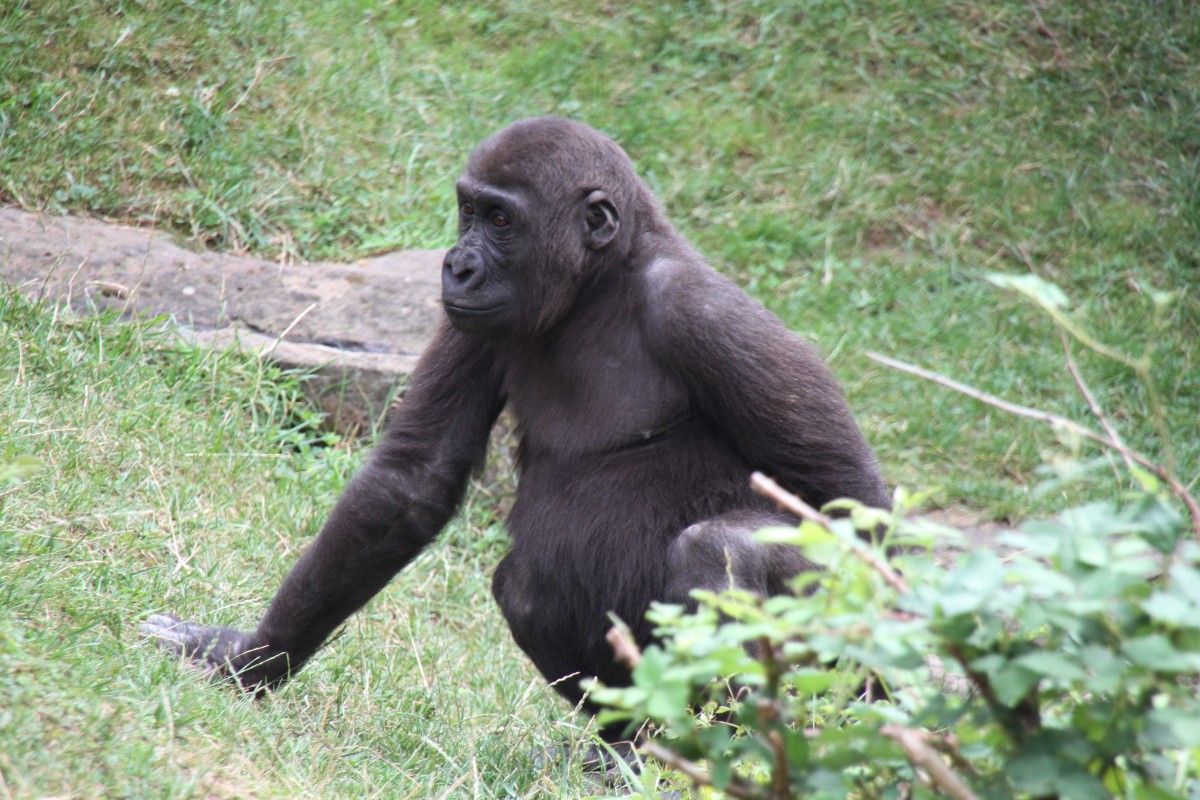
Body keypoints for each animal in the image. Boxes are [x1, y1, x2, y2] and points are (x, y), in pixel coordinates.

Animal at [145, 115, 888, 743]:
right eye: (468, 211)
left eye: (501, 219)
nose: (457, 264)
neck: (599, 285)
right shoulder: (469, 323)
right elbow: (411, 482)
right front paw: (246, 659)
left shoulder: (703, 314)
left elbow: (854, 504)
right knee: (530, 588)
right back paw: (631, 749)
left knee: (721, 549)